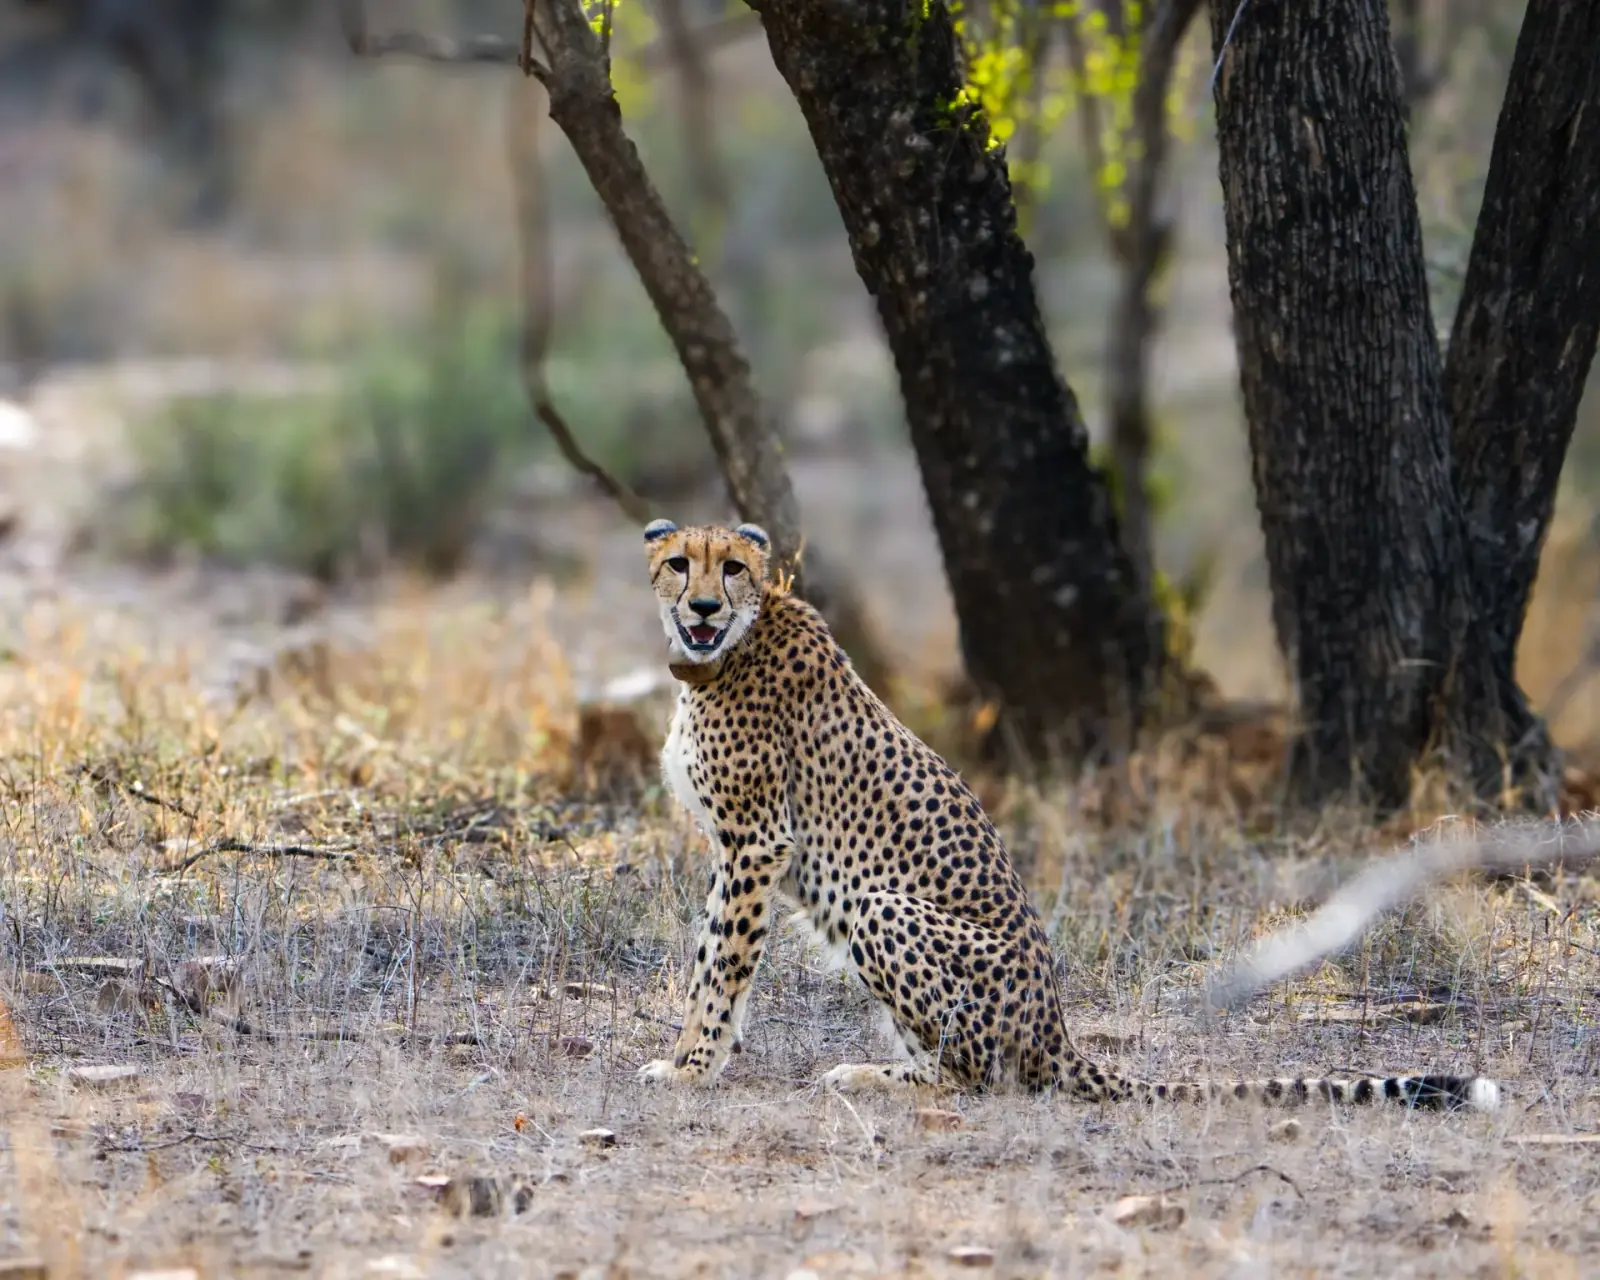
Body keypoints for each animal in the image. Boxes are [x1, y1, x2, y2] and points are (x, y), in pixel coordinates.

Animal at [633, 518, 1500, 1113]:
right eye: (679, 563)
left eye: (732, 566)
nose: (702, 606)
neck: (726, 648)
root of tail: (1058, 1029)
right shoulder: (741, 848)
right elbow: (716, 955)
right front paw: (699, 1055)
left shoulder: (756, 841)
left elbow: (721, 961)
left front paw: (690, 1066)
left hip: (883, 907)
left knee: (979, 1075)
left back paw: (870, 1076)